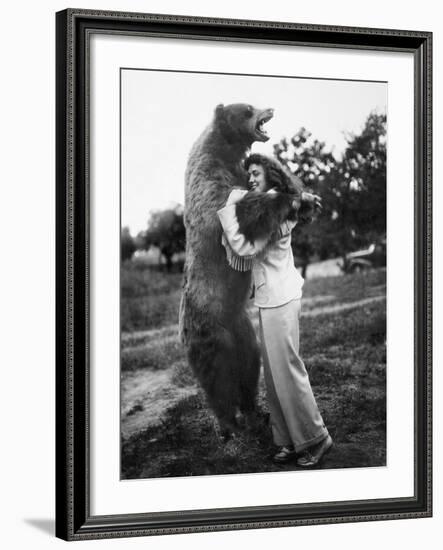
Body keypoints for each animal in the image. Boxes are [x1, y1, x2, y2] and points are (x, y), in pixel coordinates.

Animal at [180, 103, 302, 440]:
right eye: (247, 109)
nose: (269, 108)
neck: (224, 149)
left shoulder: (235, 172)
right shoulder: (210, 185)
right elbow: (237, 210)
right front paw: (287, 196)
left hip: (242, 326)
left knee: (249, 364)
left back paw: (254, 412)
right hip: (211, 330)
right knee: (218, 380)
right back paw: (229, 425)